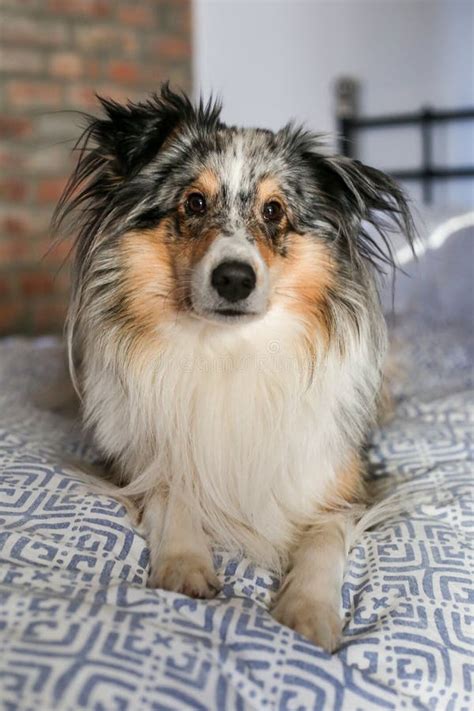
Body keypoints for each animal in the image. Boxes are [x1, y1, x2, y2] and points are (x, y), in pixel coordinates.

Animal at [53, 83, 412, 652]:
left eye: (274, 210)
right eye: (194, 202)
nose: (235, 279)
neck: (228, 350)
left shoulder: (346, 483)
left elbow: (325, 536)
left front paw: (309, 611)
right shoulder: (139, 458)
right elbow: (171, 490)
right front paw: (184, 565)